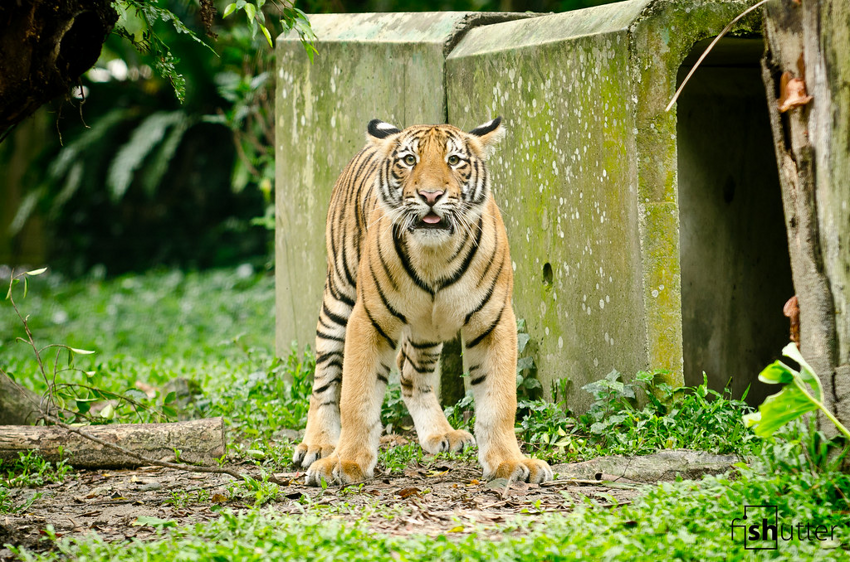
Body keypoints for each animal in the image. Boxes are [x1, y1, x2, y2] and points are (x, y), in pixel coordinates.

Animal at [292, 116, 552, 484]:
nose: (430, 195)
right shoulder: (368, 319)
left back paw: (440, 433)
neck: (435, 255)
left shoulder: (493, 321)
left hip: (428, 328)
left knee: (411, 373)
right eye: (409, 160)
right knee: (324, 380)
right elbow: (356, 398)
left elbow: (500, 402)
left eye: (454, 160)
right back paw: (316, 445)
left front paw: (511, 462)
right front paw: (345, 462)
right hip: (338, 297)